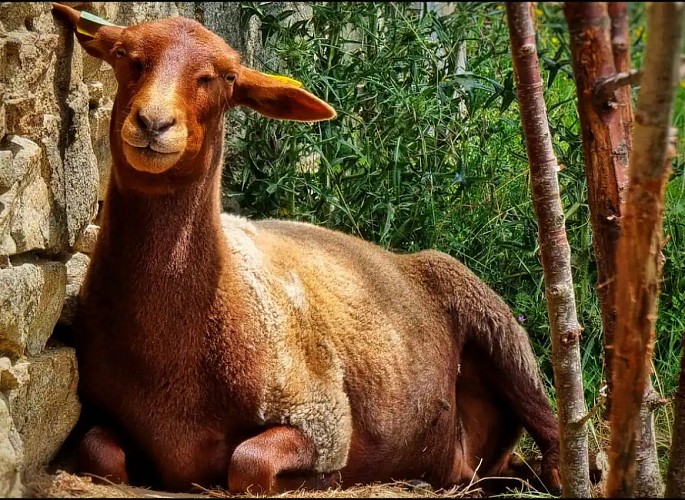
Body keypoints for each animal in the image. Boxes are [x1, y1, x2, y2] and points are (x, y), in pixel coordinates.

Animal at [52, 2, 556, 496]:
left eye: (226, 76)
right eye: (124, 55)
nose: (154, 123)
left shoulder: (322, 417)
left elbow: (248, 464)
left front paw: (317, 481)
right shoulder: (102, 416)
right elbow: (100, 455)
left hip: (504, 337)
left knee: (552, 435)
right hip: (481, 450)